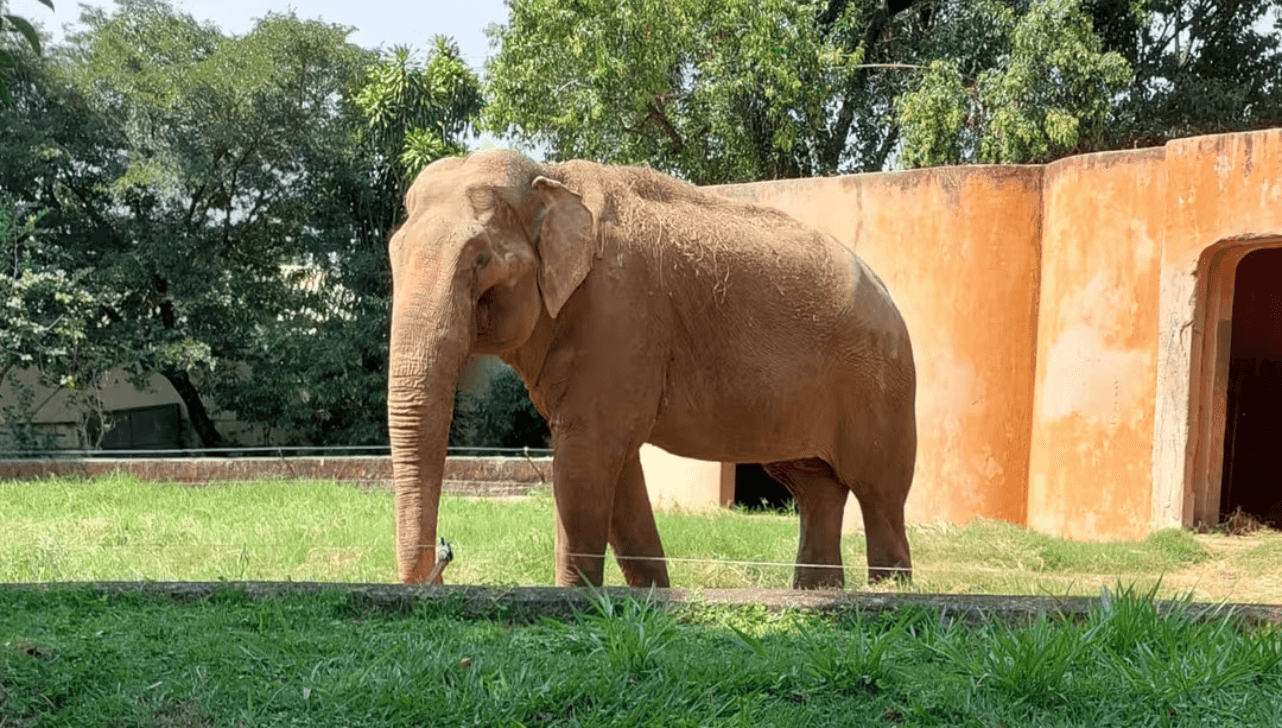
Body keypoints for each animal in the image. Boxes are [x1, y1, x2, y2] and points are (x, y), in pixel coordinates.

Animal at [387, 149, 916, 590]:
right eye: (394, 254)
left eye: (480, 261)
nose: (442, 560)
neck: (553, 177)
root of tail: (887, 293)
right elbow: (618, 473)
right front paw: (652, 595)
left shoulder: (621, 312)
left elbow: (585, 460)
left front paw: (575, 598)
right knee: (814, 488)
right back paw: (818, 593)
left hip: (880, 385)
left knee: (879, 496)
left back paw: (888, 591)